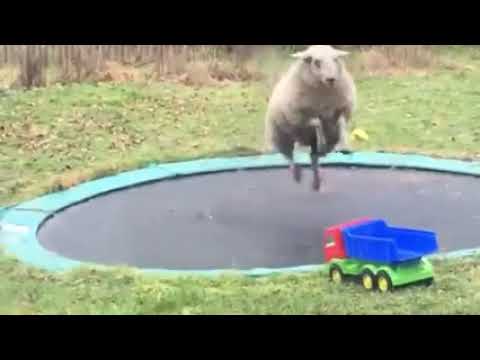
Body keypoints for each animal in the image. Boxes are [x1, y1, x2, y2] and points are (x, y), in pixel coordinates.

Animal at [262, 45, 356, 191]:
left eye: (335, 59)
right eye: (316, 62)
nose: (331, 79)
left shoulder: (342, 109)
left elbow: (341, 123)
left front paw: (344, 145)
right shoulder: (298, 117)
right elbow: (316, 122)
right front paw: (322, 141)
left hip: (322, 140)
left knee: (314, 158)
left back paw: (316, 181)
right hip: (279, 135)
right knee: (289, 156)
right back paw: (297, 174)